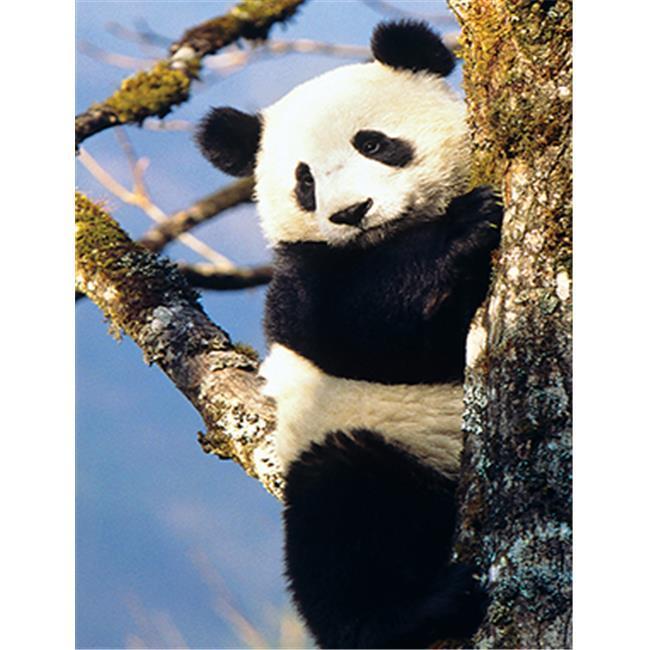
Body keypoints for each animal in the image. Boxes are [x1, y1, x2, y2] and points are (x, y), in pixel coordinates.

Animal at [197, 20, 502, 650]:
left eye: (375, 143)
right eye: (304, 182)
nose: (352, 212)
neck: (392, 237)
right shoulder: (303, 277)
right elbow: (360, 324)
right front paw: (467, 223)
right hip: (370, 439)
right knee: (345, 519)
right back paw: (413, 610)